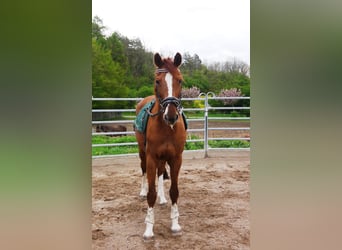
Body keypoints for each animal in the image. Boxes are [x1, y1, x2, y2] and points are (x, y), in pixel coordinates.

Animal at [134, 52, 187, 240]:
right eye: (157, 81)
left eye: (180, 80)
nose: (171, 116)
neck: (167, 127)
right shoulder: (151, 157)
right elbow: (151, 194)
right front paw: (149, 229)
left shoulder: (176, 158)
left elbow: (174, 191)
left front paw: (175, 224)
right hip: (142, 152)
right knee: (143, 170)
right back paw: (142, 191)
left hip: (163, 158)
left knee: (160, 173)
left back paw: (163, 199)